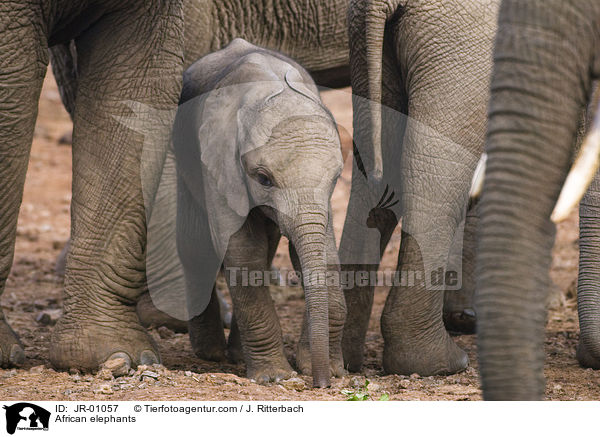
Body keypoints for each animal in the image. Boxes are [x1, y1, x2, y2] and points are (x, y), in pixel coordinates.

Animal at [171, 38, 344, 384]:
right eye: (263, 178)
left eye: (336, 177)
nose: (322, 384)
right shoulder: (220, 161)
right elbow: (242, 251)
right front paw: (275, 377)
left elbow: (323, 251)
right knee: (195, 246)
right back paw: (210, 353)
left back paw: (236, 355)